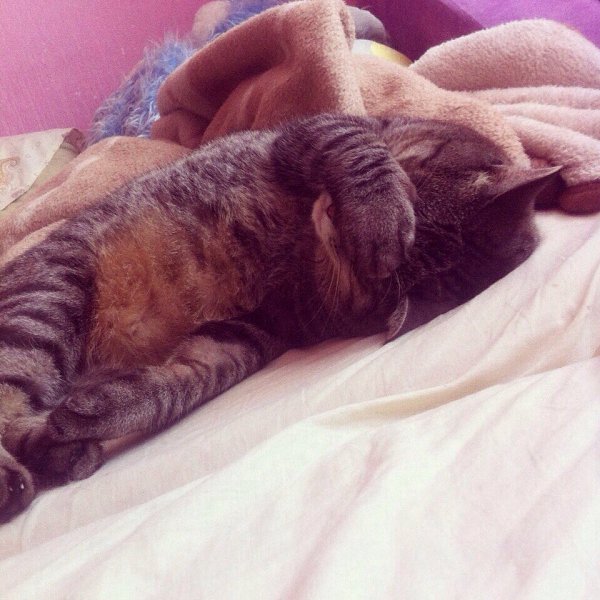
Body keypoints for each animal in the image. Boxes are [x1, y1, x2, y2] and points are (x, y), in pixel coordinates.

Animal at [0, 114, 557, 522]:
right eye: (414, 199)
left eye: (369, 279)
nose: (335, 220)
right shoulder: (309, 133)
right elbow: (361, 149)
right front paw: (382, 213)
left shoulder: (250, 332)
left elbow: (180, 385)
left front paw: (107, 406)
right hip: (51, 294)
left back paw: (56, 451)